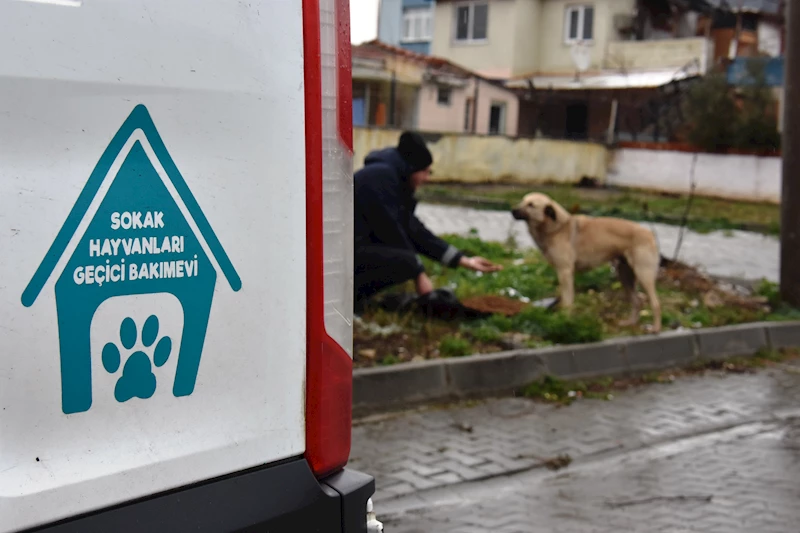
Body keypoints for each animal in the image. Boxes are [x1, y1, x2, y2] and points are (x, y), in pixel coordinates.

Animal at [512, 191, 664, 332]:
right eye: (522, 201)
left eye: (531, 205)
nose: (512, 210)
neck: (557, 228)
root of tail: (649, 233)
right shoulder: (563, 274)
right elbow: (565, 299)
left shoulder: (565, 272)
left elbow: (567, 301)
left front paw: (565, 320)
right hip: (624, 275)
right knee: (637, 300)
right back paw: (630, 322)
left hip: (643, 274)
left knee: (655, 303)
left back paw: (655, 328)